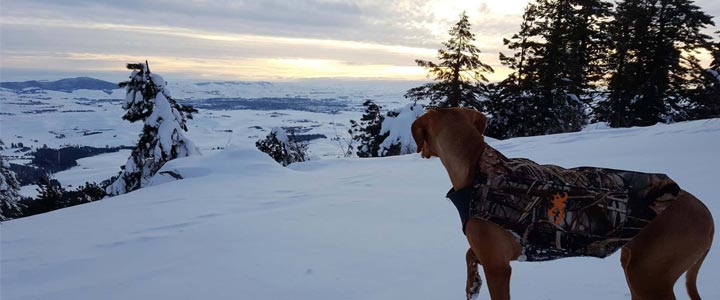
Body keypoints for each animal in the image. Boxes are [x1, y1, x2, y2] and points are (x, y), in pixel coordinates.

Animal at [410, 108, 716, 300]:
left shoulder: (499, 267)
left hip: (649, 275)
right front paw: (472, 283)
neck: (477, 168)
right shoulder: (495, 251)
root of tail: (708, 216)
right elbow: (469, 254)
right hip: (636, 264)